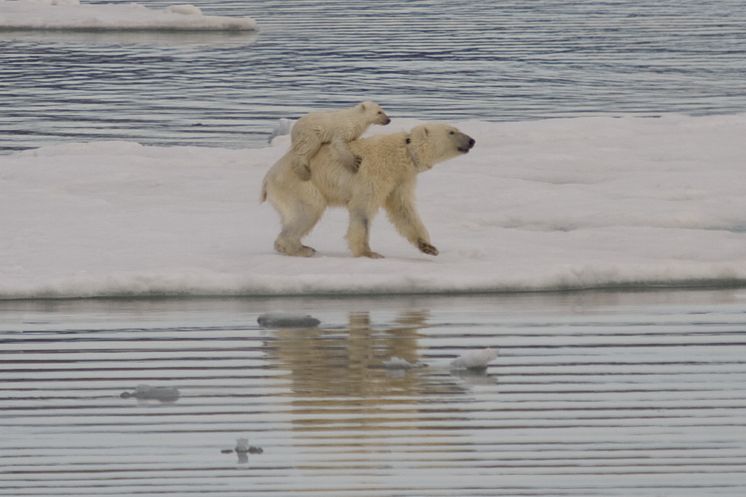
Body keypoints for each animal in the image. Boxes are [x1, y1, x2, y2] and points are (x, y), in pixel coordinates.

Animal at [260, 122, 470, 258]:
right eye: (452, 132)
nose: (472, 141)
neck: (402, 154)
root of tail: (268, 178)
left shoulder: (401, 180)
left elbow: (403, 210)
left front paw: (428, 247)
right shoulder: (376, 173)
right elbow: (362, 209)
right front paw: (368, 252)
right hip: (300, 184)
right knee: (309, 209)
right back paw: (299, 248)